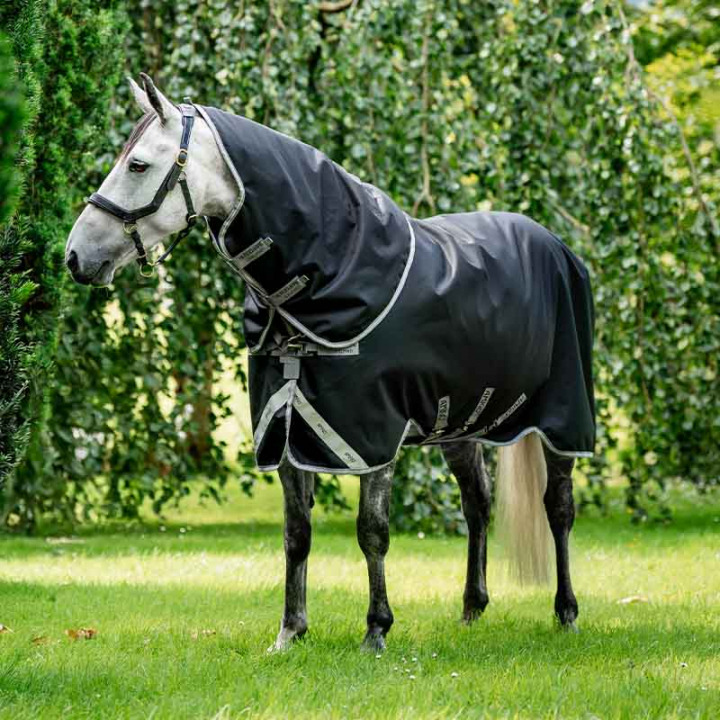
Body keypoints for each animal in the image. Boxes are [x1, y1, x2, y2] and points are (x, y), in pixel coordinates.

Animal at [65, 74, 595, 652]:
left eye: (138, 165)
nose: (75, 257)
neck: (326, 277)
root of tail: (555, 244)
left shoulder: (372, 436)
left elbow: (372, 532)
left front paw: (376, 630)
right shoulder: (285, 428)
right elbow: (296, 534)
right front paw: (289, 632)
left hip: (562, 418)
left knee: (559, 508)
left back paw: (567, 611)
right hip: (458, 425)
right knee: (477, 503)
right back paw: (472, 609)